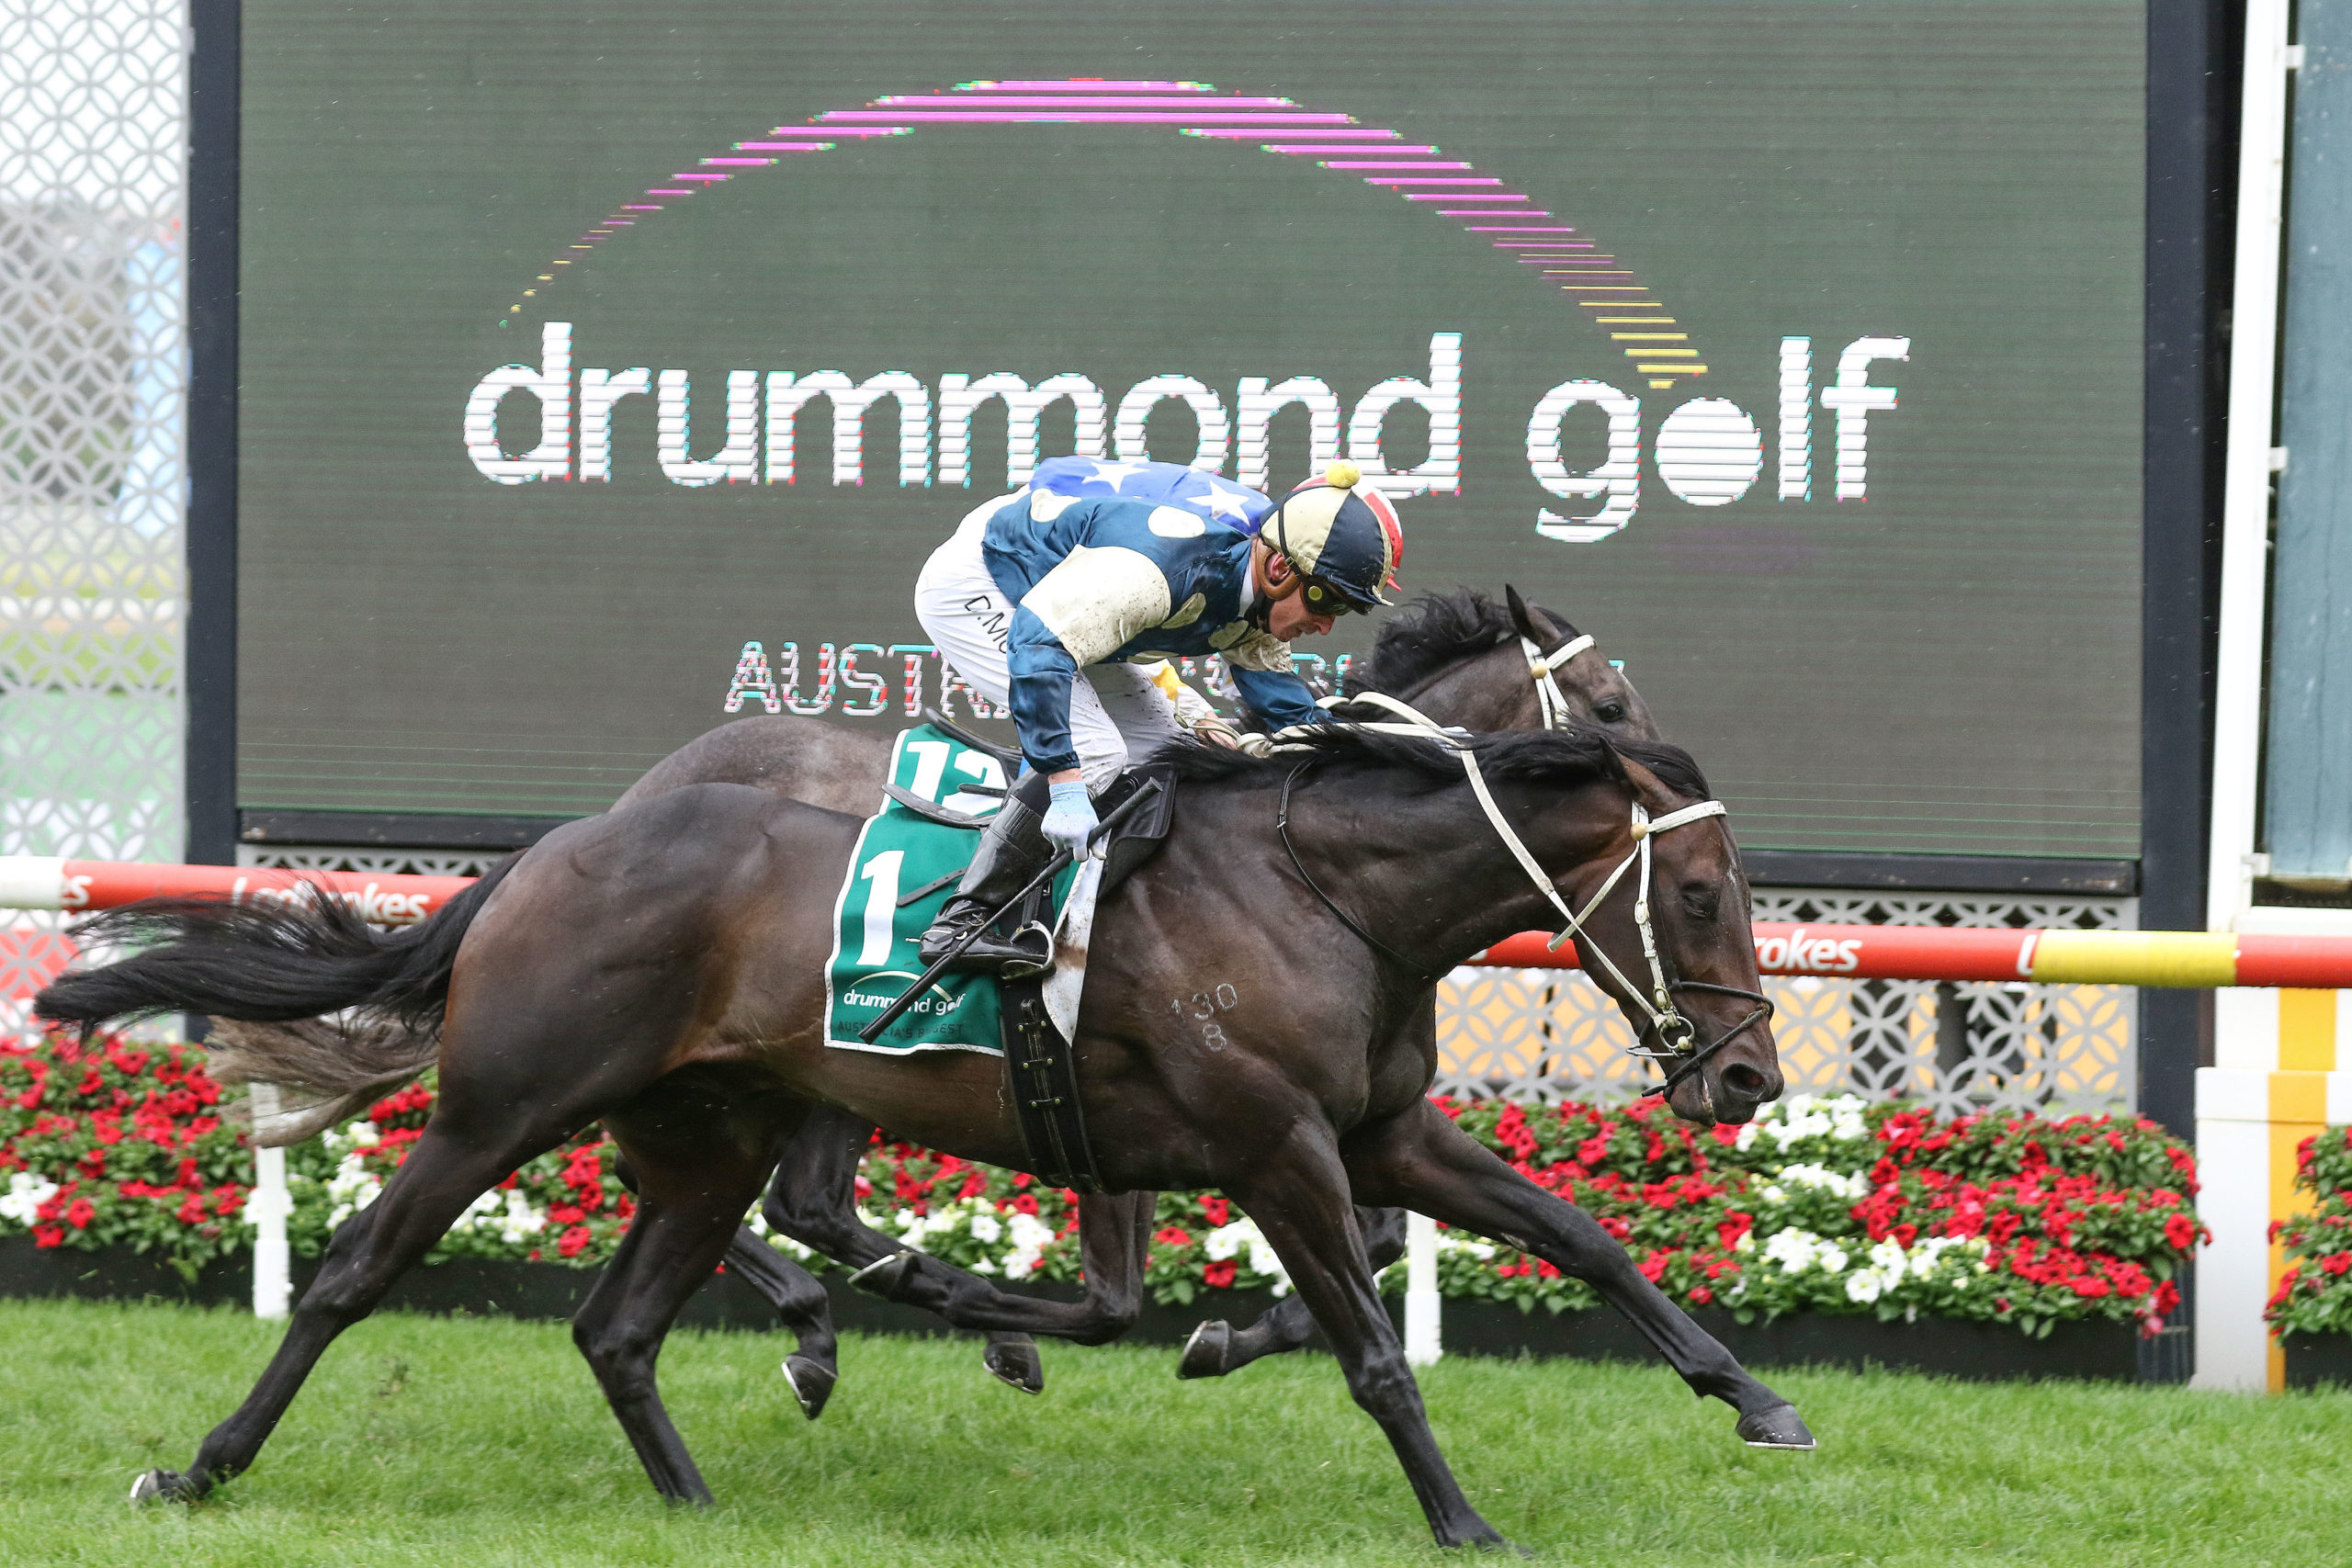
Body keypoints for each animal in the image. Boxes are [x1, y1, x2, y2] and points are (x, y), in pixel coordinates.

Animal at [42, 722, 1805, 1551]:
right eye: (1695, 890)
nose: (1744, 1080)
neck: (1323, 890)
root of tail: (549, 852)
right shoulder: (1273, 1145)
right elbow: (1374, 1347)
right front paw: (1461, 1517)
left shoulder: (1379, 1130)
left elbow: (1577, 1232)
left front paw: (1757, 1399)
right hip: (504, 1101)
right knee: (352, 1273)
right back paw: (200, 1466)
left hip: (711, 1136)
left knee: (620, 1322)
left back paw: (703, 1500)